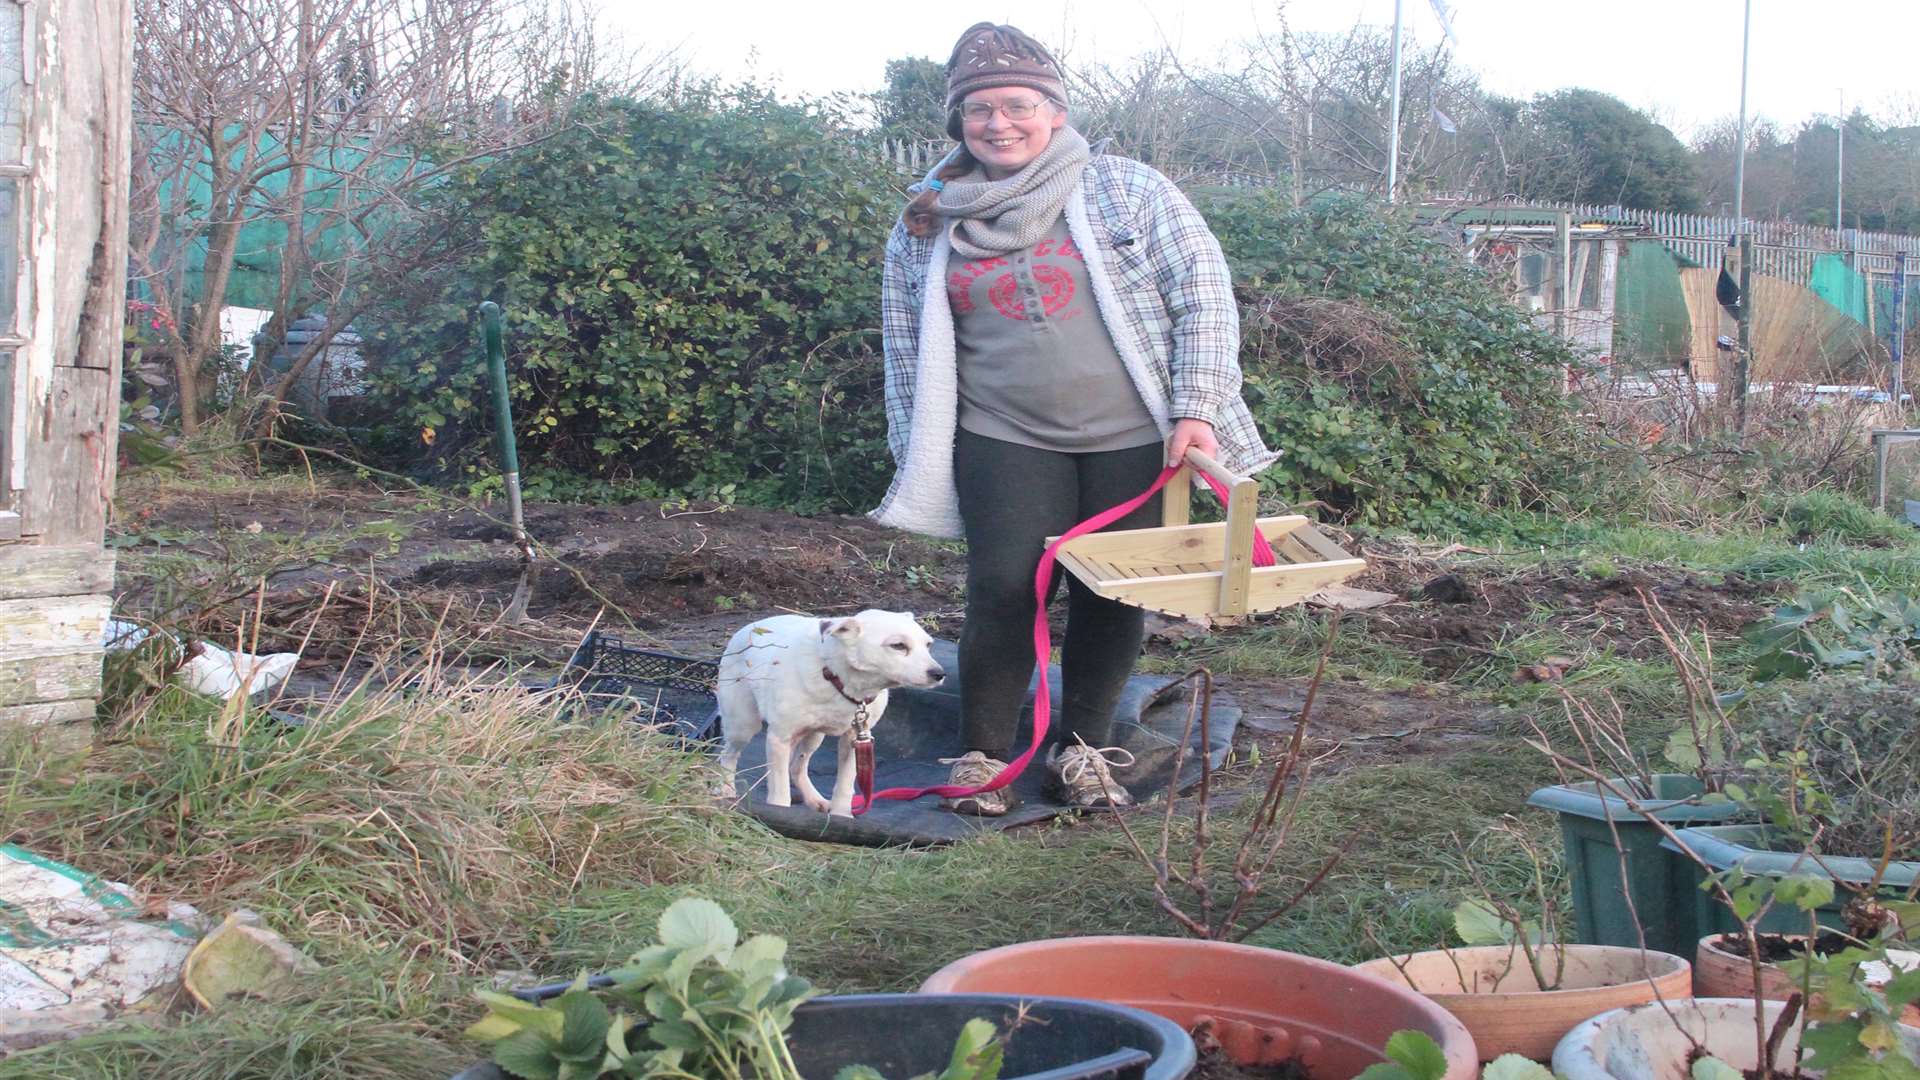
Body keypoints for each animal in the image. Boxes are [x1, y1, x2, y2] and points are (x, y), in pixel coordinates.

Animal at [714, 611, 944, 810]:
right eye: (898, 645)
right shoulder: (780, 738)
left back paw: (814, 799)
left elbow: (844, 787)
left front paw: (841, 816)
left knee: (796, 768)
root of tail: (747, 629)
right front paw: (780, 811)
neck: (837, 678)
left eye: (928, 645)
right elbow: (780, 792)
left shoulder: (855, 740)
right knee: (728, 756)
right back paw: (725, 790)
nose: (939, 674)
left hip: (813, 737)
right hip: (743, 726)